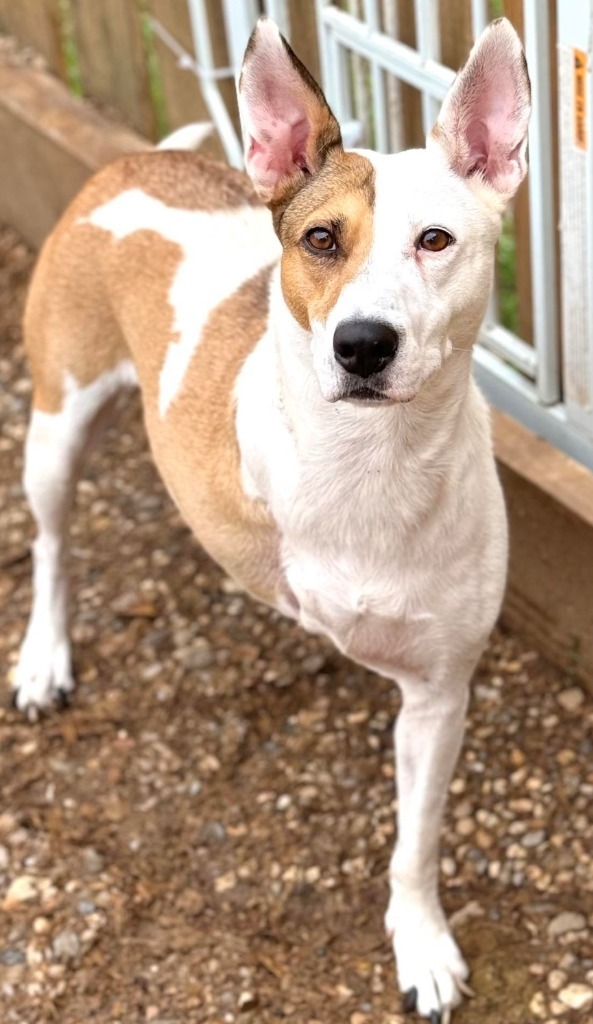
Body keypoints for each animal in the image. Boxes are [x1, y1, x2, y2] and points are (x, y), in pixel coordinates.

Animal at [12, 18, 532, 1024]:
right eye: (321, 239)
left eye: (436, 240)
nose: (362, 344)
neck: (371, 461)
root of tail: (132, 161)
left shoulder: (438, 695)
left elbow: (415, 842)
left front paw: (420, 942)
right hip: (55, 423)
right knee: (52, 545)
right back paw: (44, 657)